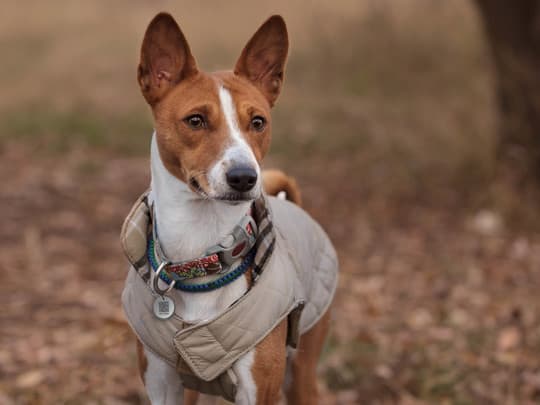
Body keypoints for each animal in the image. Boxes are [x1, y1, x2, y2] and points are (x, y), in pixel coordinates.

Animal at [121, 11, 338, 402]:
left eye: (258, 122)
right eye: (195, 120)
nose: (244, 177)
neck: (198, 253)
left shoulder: (258, 390)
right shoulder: (162, 384)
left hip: (301, 370)